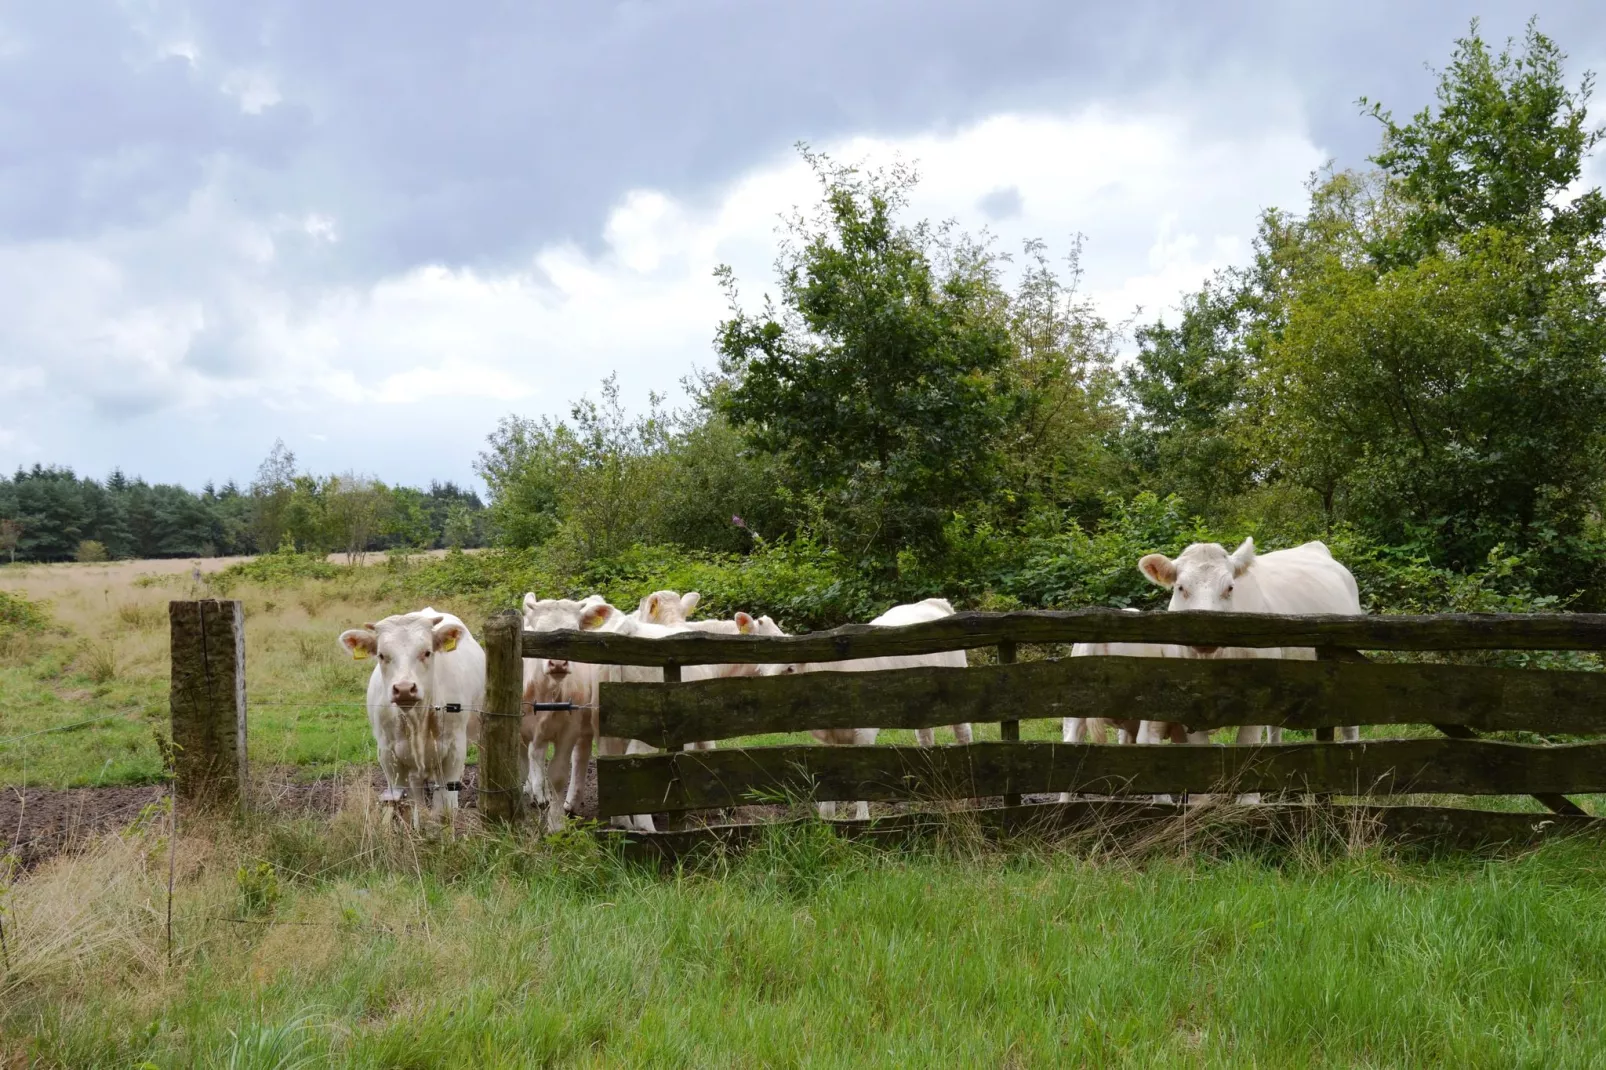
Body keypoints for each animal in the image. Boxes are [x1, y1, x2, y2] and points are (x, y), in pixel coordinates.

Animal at [337, 607, 481, 822]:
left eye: (427, 652)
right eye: (381, 655)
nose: (404, 689)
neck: (417, 720)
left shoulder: (455, 750)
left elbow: (445, 808)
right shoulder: (388, 755)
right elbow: (410, 806)